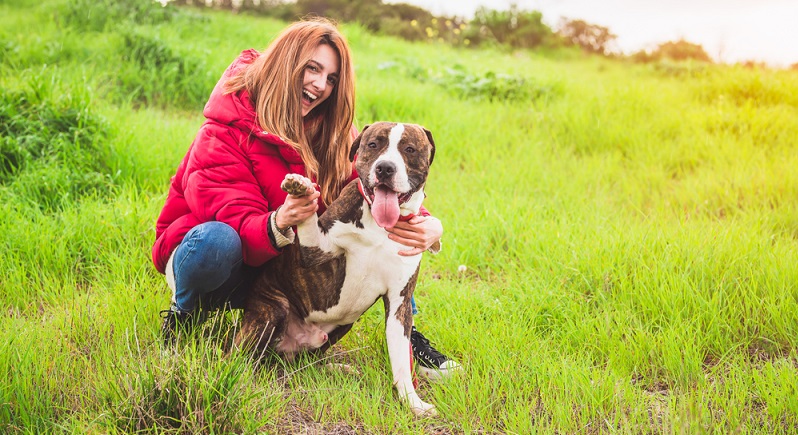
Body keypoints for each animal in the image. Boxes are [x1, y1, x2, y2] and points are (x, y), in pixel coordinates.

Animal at [234, 121, 440, 418]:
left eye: (410, 149)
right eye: (373, 145)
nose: (385, 168)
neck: (380, 225)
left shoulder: (399, 304)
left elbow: (402, 358)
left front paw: (412, 402)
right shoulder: (317, 249)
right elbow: (307, 218)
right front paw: (301, 191)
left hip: (343, 324)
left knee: (307, 359)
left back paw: (334, 367)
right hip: (271, 311)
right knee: (240, 353)